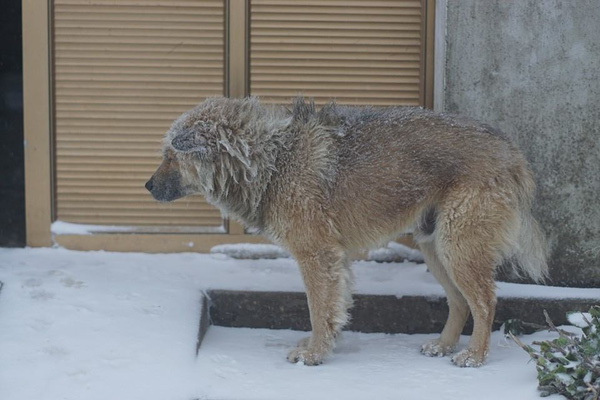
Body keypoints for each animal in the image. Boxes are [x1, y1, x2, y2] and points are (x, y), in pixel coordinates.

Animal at [146, 95, 548, 368]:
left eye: (170, 156)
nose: (146, 186)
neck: (269, 159)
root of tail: (511, 151)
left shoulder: (316, 255)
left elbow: (318, 308)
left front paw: (314, 354)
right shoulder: (331, 260)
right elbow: (330, 308)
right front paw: (318, 346)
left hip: (457, 247)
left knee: (485, 302)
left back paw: (474, 357)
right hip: (436, 247)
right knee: (460, 302)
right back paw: (443, 346)